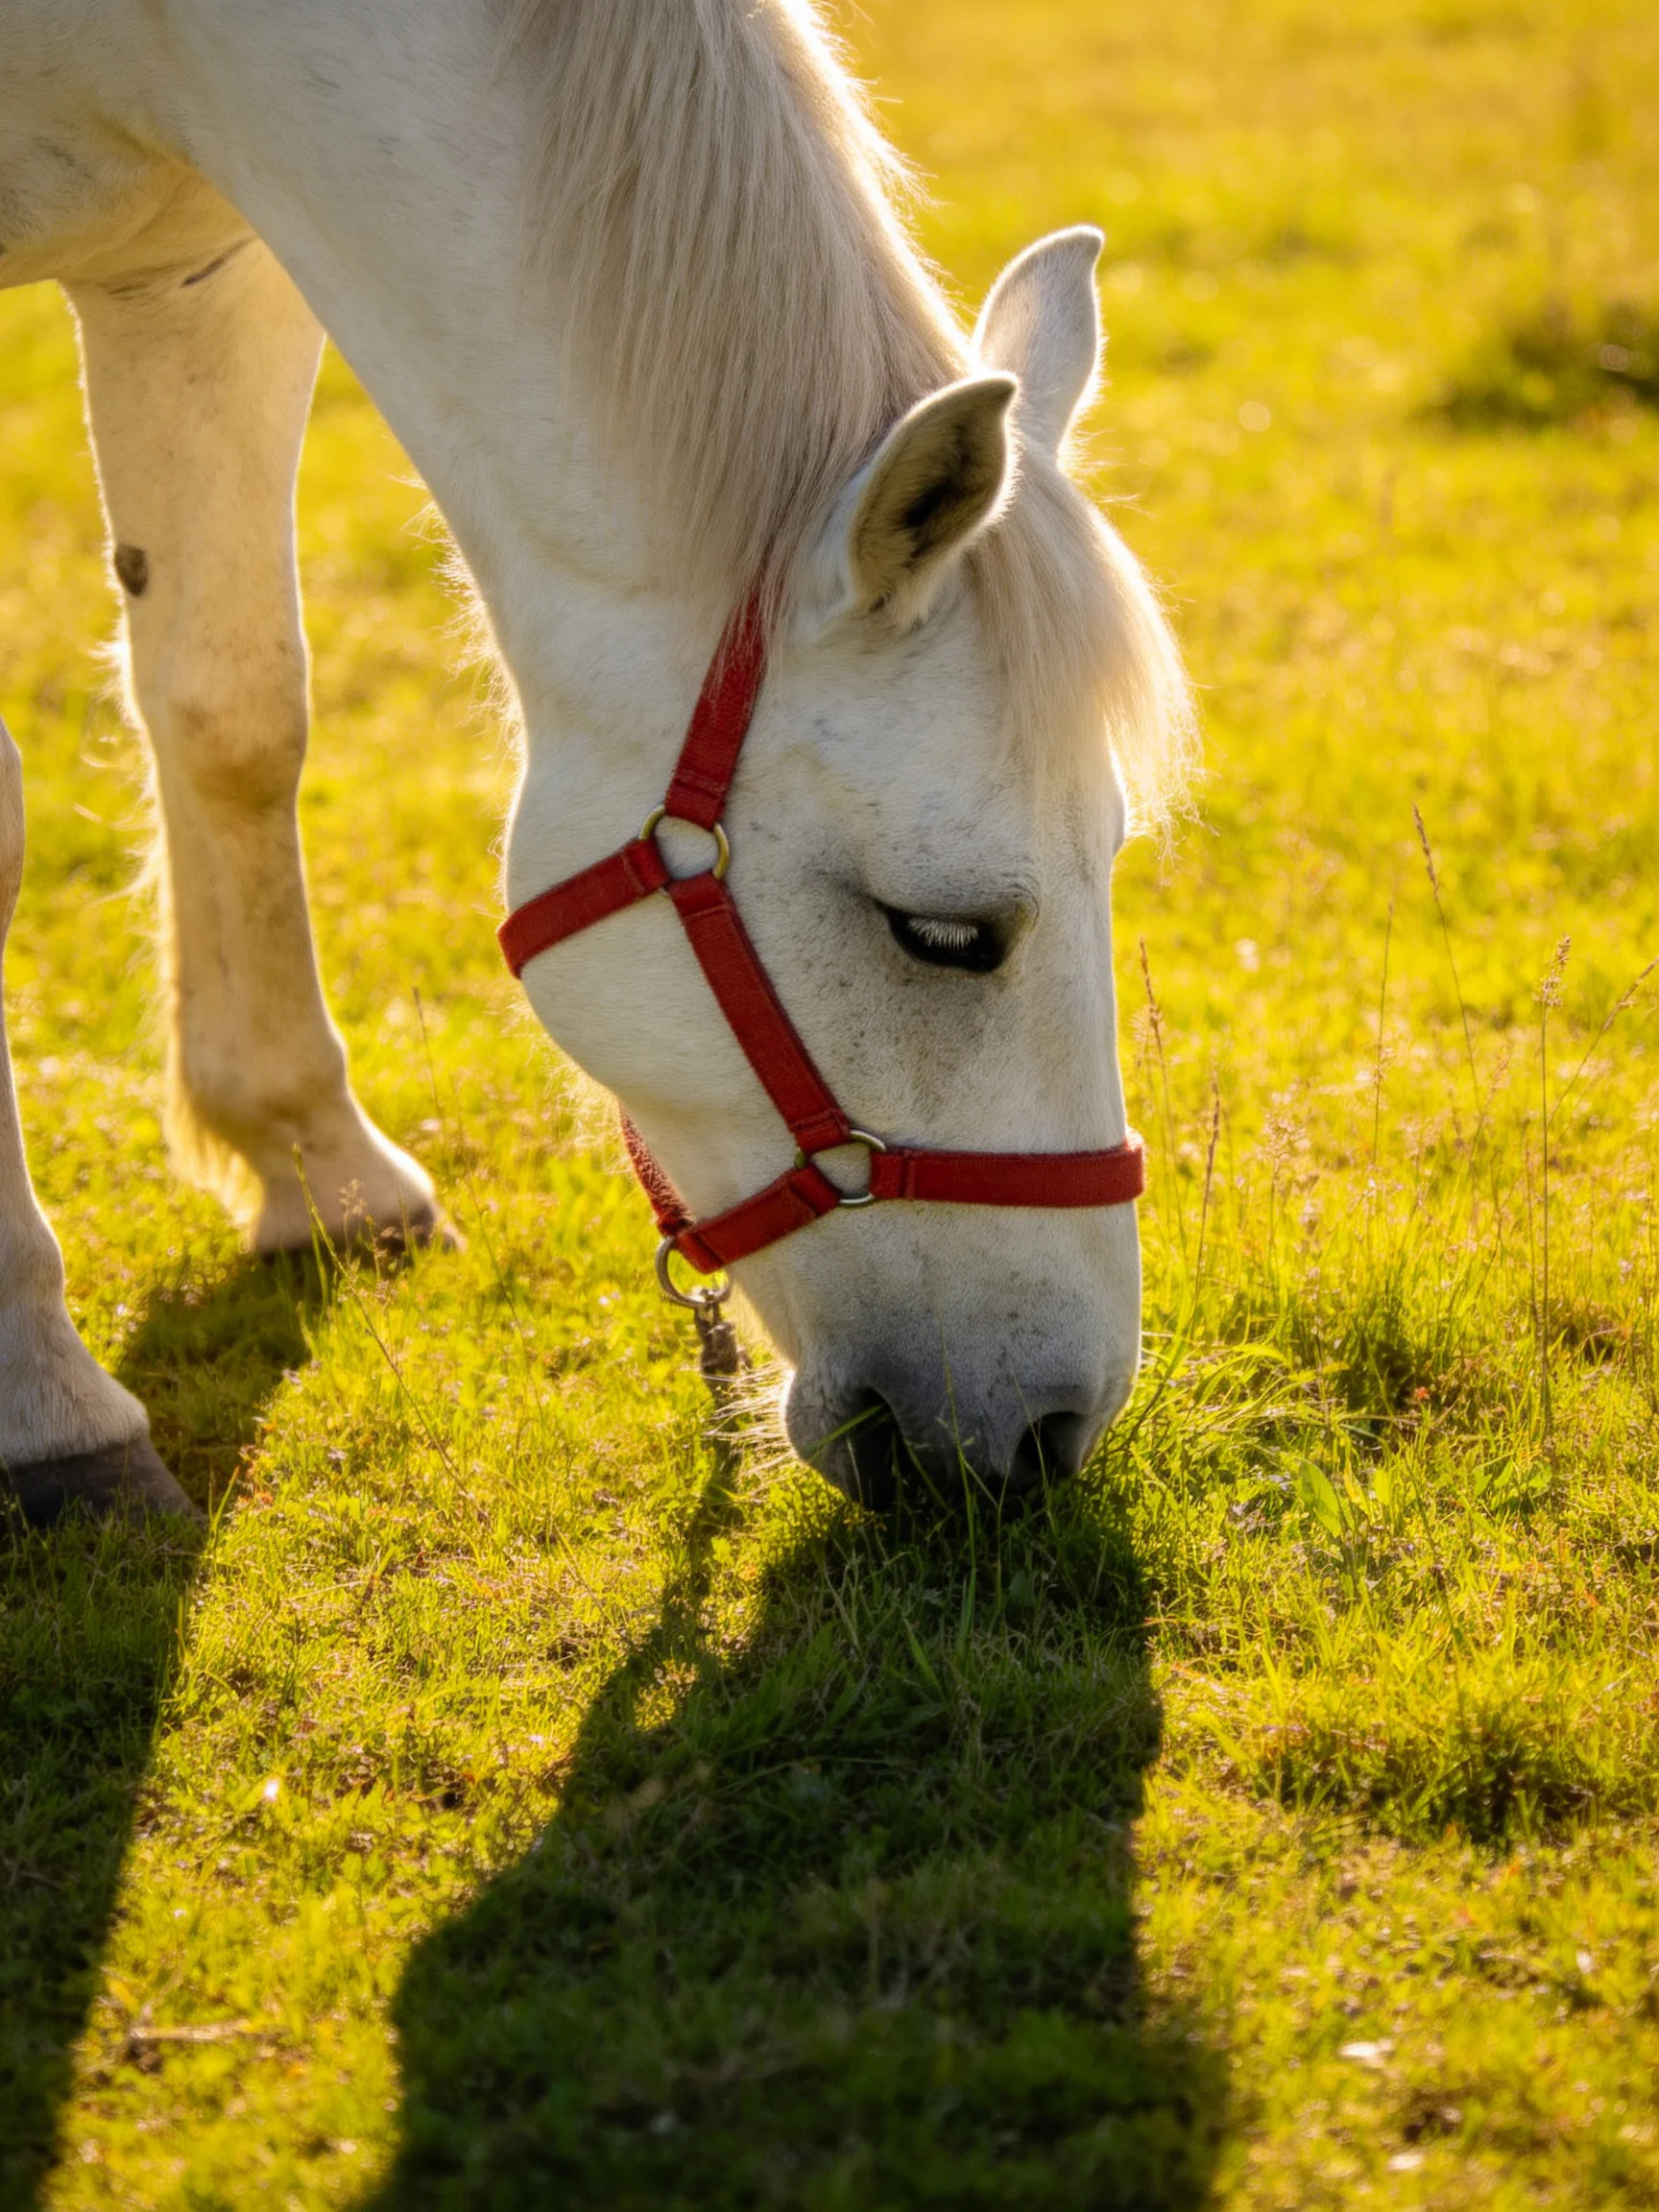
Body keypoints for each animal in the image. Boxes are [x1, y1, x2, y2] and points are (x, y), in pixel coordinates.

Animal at [0, 0, 1192, 1522]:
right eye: (941, 934)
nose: (1051, 1430)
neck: (178, 49)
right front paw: (45, 1395)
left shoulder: (197, 270)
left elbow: (235, 708)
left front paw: (314, 1160)